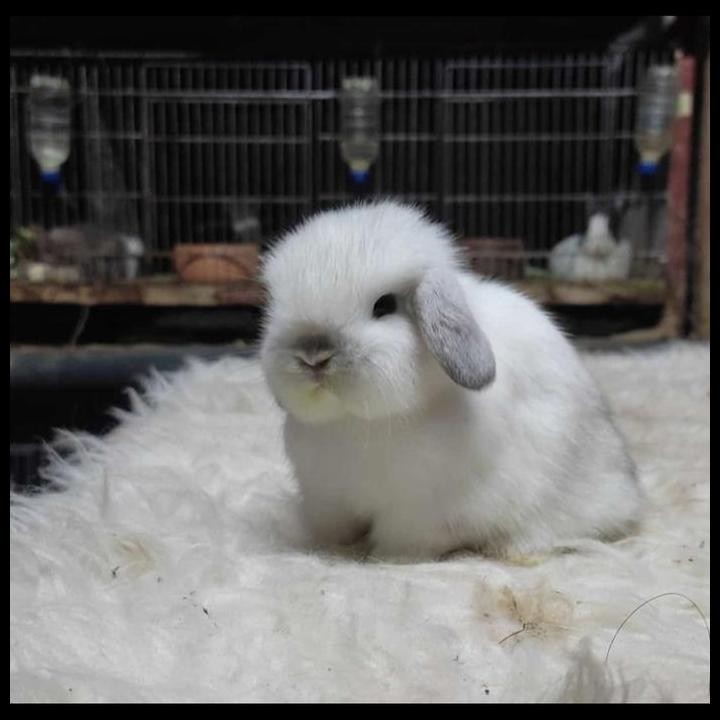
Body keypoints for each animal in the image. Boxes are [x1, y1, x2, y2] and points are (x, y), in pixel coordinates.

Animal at [260, 200, 643, 561]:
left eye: (384, 305)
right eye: (276, 305)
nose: (313, 355)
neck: (355, 423)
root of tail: (629, 490)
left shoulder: (416, 512)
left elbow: (403, 541)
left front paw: (385, 558)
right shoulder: (327, 499)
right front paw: (329, 549)